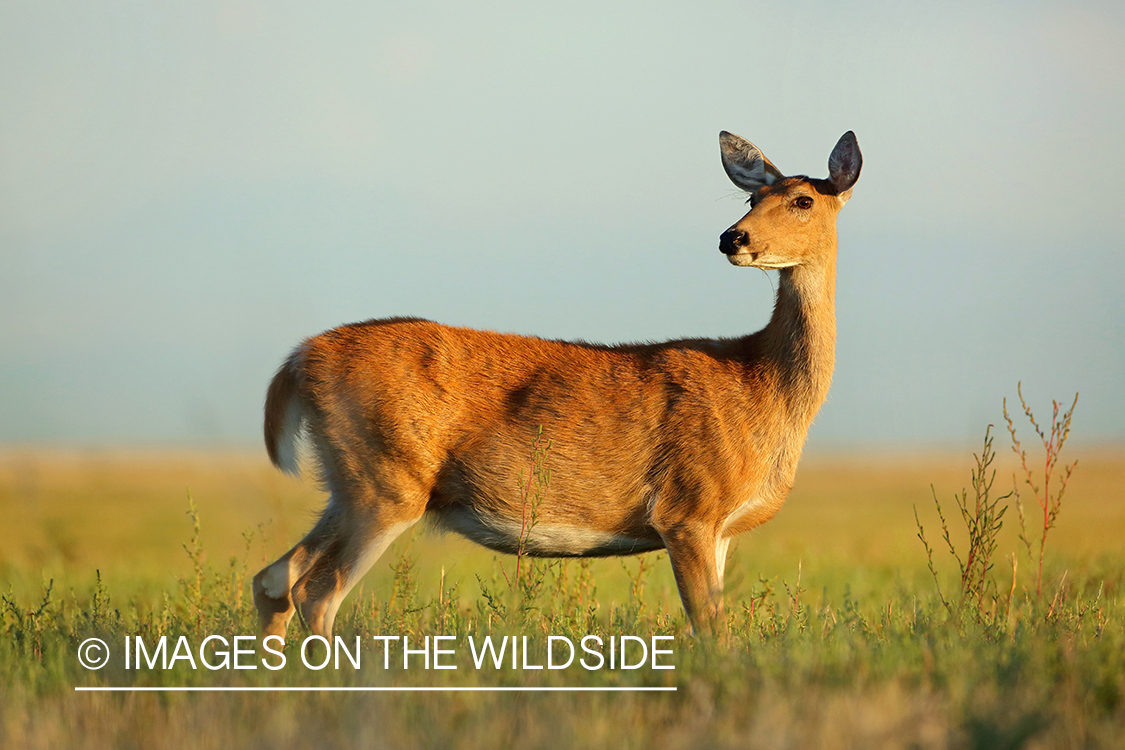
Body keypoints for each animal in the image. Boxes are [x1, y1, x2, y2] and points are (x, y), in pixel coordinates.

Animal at [253, 130, 859, 638]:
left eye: (803, 200)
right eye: (752, 200)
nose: (732, 238)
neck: (764, 383)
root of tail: (299, 361)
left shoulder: (721, 528)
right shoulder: (687, 509)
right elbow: (712, 632)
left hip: (348, 482)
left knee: (274, 578)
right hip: (386, 480)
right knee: (314, 592)